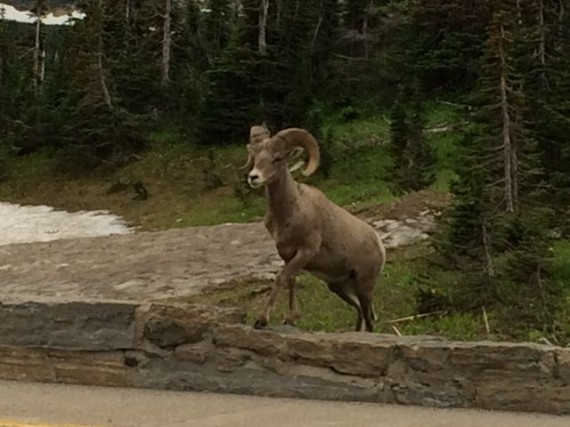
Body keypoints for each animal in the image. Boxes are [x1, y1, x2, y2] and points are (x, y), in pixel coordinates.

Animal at [240, 125, 386, 332]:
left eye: (278, 158)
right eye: (256, 157)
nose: (253, 177)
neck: (290, 212)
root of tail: (379, 244)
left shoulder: (306, 251)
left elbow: (280, 278)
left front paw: (262, 320)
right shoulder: (288, 255)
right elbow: (291, 280)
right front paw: (290, 319)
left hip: (364, 286)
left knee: (369, 318)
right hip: (338, 286)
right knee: (359, 311)